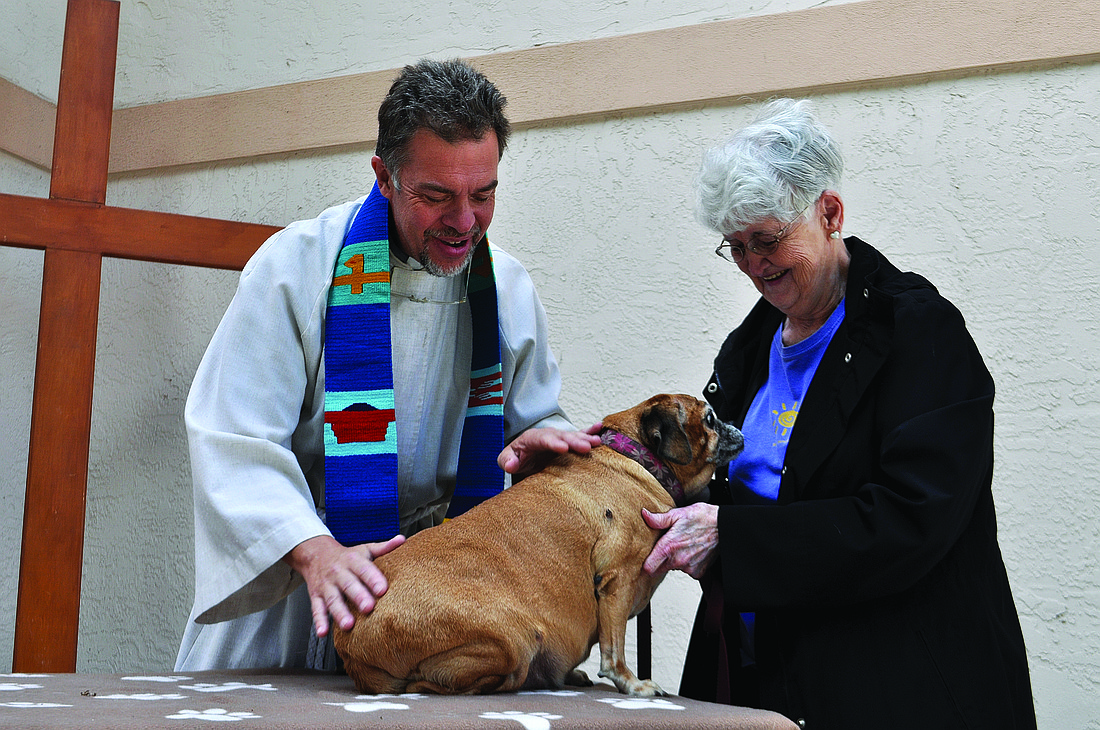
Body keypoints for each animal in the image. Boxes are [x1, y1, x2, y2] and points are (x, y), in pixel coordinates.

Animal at [330, 393, 743, 694]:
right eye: (710, 419)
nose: (736, 429)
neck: (638, 457)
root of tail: (351, 643)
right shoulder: (617, 584)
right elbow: (614, 652)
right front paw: (633, 684)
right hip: (516, 637)